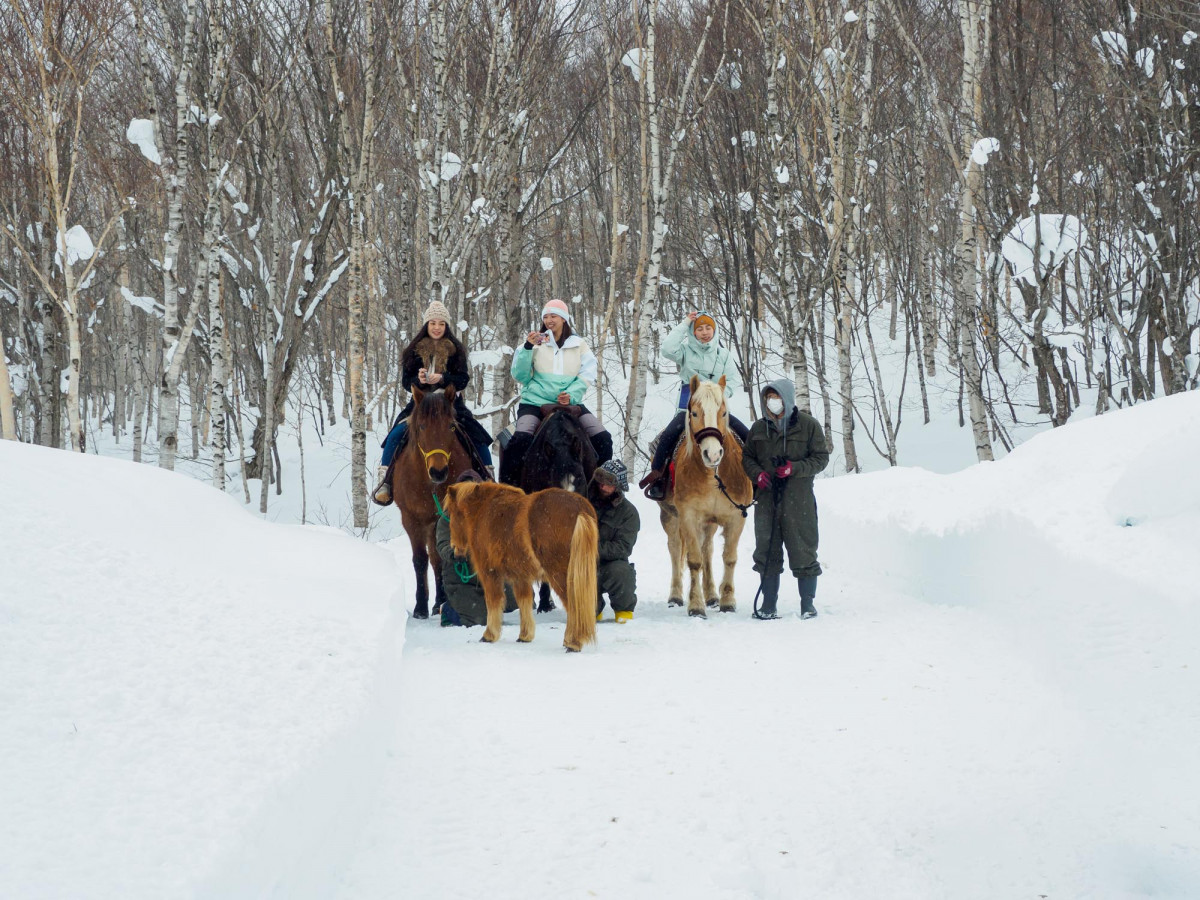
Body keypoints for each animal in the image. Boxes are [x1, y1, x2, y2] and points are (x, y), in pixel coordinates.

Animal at [388, 384, 472, 624]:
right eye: (422, 426)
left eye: (451, 426)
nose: (438, 471)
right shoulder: (411, 519)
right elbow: (419, 560)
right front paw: (420, 607)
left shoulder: (440, 519)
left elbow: (438, 559)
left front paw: (438, 603)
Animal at [446, 482, 600, 652]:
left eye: (451, 514)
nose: (456, 553)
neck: (484, 510)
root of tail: (580, 509)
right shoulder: (521, 577)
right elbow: (524, 601)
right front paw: (525, 636)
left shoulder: (490, 573)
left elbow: (493, 601)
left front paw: (489, 635)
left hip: (560, 574)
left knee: (573, 605)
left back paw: (573, 642)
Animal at [657, 374, 748, 619]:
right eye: (695, 413)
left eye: (723, 412)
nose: (713, 454)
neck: (713, 476)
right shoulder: (688, 516)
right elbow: (694, 561)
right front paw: (696, 605)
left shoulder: (736, 517)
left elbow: (729, 557)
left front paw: (727, 601)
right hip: (670, 516)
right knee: (675, 548)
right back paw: (676, 596)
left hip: (710, 523)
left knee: (708, 550)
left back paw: (712, 595)